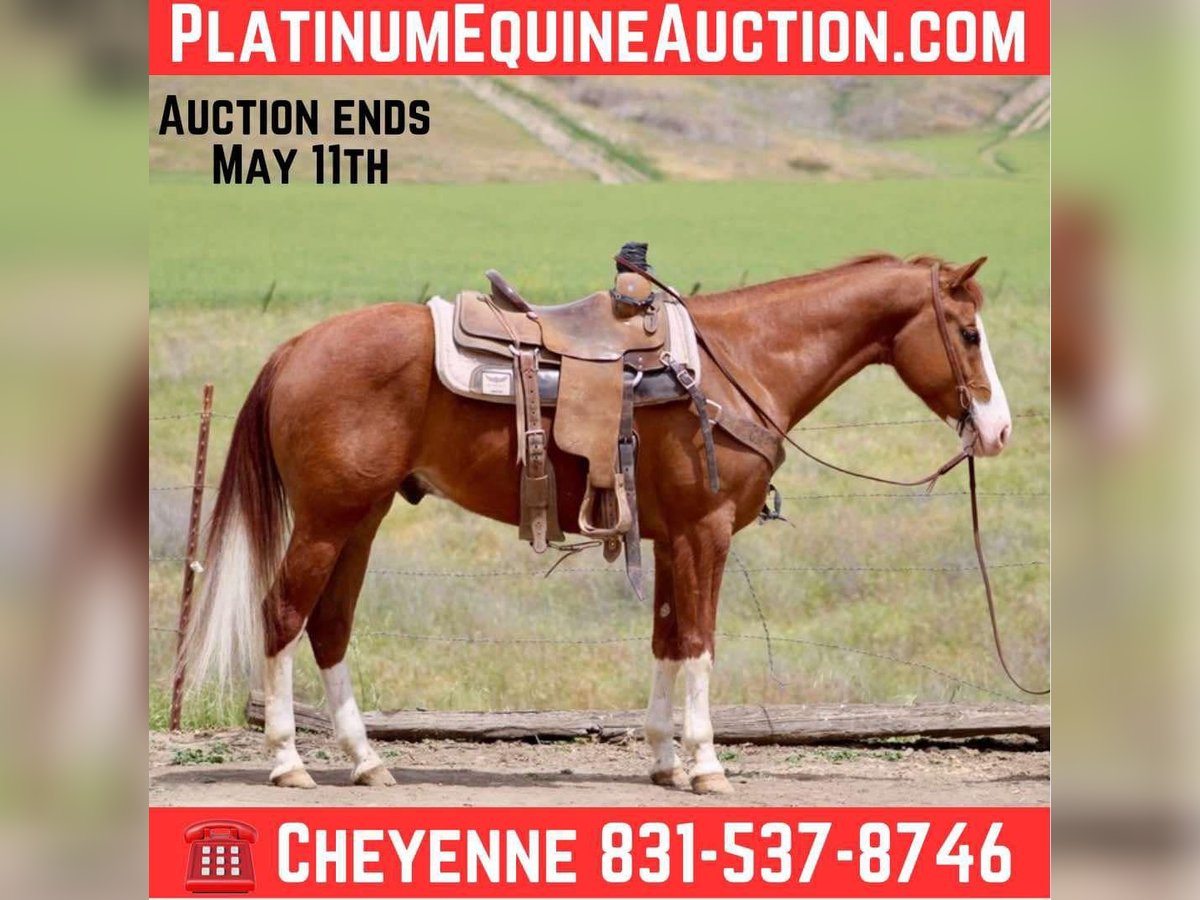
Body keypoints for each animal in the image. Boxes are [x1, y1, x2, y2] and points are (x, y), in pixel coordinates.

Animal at [180, 252, 1012, 795]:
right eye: (969, 333)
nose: (997, 430)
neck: (738, 364)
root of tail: (295, 348)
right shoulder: (705, 532)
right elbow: (701, 645)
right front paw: (707, 765)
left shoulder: (671, 540)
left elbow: (668, 641)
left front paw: (664, 761)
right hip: (328, 518)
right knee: (283, 614)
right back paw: (289, 762)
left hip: (362, 518)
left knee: (330, 626)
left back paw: (365, 762)